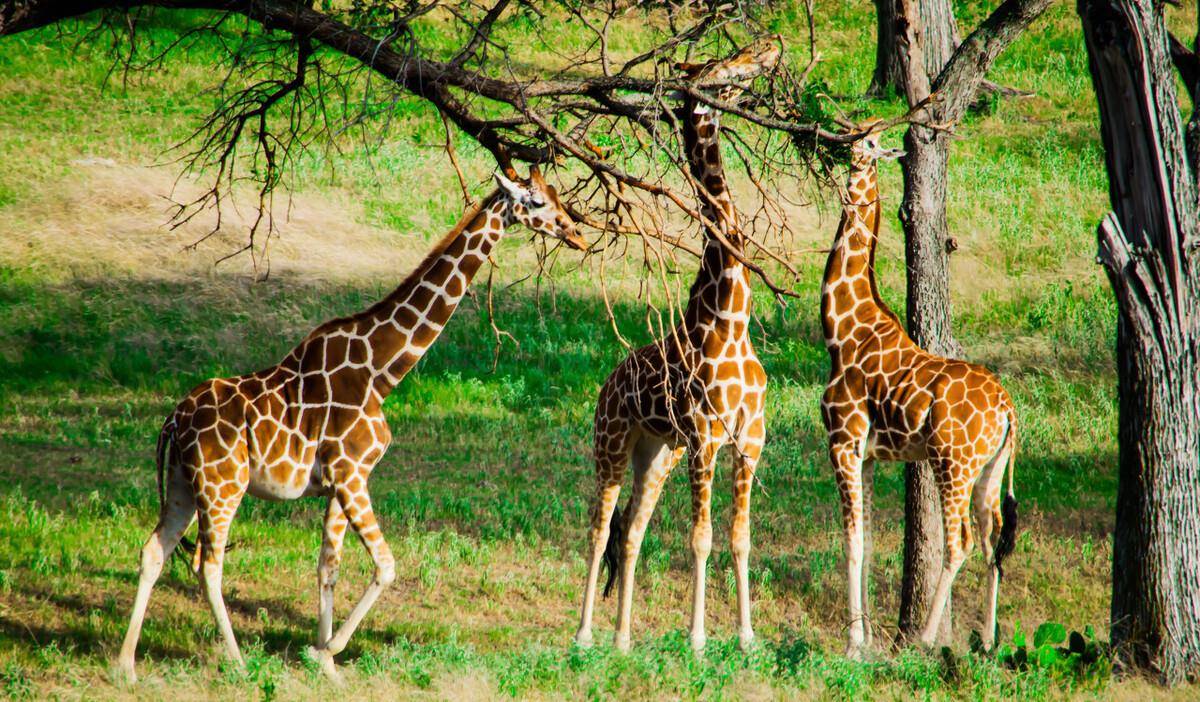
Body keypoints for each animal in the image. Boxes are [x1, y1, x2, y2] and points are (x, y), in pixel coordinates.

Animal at [114, 166, 583, 681]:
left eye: (558, 194)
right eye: (536, 201)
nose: (576, 232)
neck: (382, 370)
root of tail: (174, 420)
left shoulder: (338, 483)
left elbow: (328, 566)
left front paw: (325, 662)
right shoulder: (353, 473)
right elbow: (386, 565)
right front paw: (327, 651)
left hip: (182, 482)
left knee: (153, 552)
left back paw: (126, 665)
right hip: (222, 486)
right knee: (209, 566)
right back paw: (237, 662)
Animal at [573, 36, 782, 652]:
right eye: (724, 63)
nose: (771, 46)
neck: (730, 316)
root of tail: (607, 384)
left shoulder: (750, 438)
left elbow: (738, 537)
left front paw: (746, 638)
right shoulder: (707, 437)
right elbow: (701, 537)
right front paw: (697, 640)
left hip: (657, 453)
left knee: (632, 531)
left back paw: (622, 641)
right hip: (611, 442)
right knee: (599, 529)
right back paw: (584, 636)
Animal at [825, 121, 1022, 657]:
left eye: (870, 142)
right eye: (858, 132)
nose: (843, 143)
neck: (840, 329)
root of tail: (1009, 411)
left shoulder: (842, 442)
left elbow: (851, 541)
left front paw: (854, 643)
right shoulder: (868, 454)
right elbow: (869, 541)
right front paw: (865, 636)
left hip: (952, 462)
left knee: (960, 542)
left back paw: (925, 640)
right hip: (989, 469)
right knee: (993, 538)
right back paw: (987, 640)